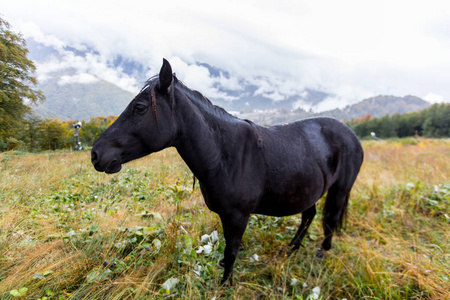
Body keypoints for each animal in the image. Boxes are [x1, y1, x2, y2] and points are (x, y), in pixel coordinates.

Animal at [91, 58, 362, 284]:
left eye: (139, 108)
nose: (96, 154)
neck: (225, 156)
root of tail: (352, 135)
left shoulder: (239, 216)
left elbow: (231, 250)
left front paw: (225, 284)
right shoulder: (225, 215)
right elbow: (227, 247)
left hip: (339, 190)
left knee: (330, 220)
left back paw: (322, 252)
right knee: (309, 215)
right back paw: (293, 247)